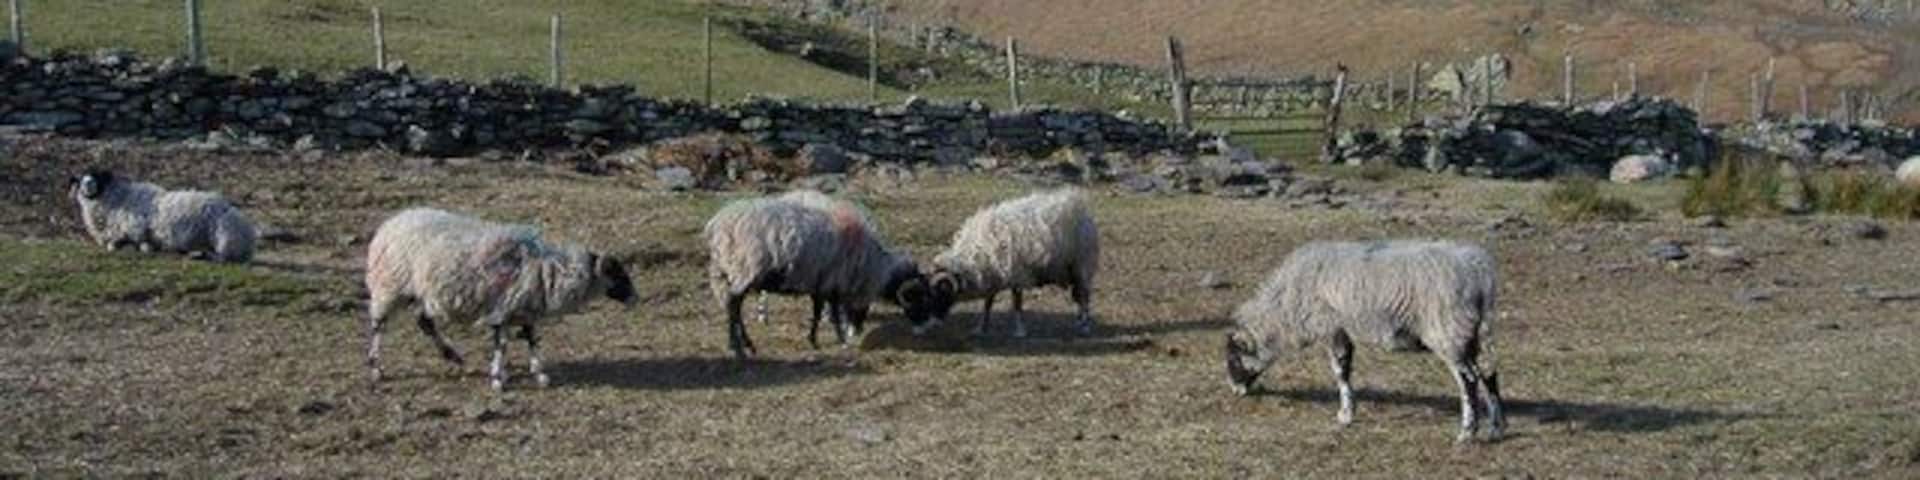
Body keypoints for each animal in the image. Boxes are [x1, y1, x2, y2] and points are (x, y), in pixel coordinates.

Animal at [67, 169, 256, 263]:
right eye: (80, 178)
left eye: (97, 176)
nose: (88, 184)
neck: (119, 199)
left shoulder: (135, 229)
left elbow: (121, 244)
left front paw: (143, 248)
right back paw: (195, 254)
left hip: (223, 236)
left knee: (223, 258)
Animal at [363, 208, 636, 391]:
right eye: (618, 274)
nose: (636, 298)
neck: (548, 271)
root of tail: (390, 223)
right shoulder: (501, 309)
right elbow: (502, 344)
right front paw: (497, 378)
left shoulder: (525, 311)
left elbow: (532, 340)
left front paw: (539, 374)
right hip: (389, 286)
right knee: (378, 326)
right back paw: (376, 367)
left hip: (422, 293)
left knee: (424, 322)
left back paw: (452, 355)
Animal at [704, 194, 932, 358]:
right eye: (917, 297)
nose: (925, 326)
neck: (869, 266)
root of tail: (718, 224)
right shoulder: (833, 281)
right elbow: (831, 312)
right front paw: (840, 339)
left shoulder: (820, 282)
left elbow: (817, 310)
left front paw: (814, 340)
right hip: (746, 268)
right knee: (733, 304)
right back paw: (738, 347)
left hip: (734, 271)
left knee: (734, 307)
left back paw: (745, 345)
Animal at [919, 188, 1099, 338]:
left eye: (937, 294)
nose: (931, 325)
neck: (976, 256)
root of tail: (1082, 209)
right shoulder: (993, 275)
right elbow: (988, 303)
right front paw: (981, 328)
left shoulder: (1017, 276)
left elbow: (1016, 304)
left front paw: (1019, 331)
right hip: (1072, 270)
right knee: (1079, 296)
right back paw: (1078, 321)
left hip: (1082, 265)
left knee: (1085, 297)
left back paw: (1085, 327)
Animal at [1224, 240, 1503, 443]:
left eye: (1234, 358)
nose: (1236, 392)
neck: (1285, 309)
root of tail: (1479, 271)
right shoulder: (1343, 330)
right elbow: (1346, 368)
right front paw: (1349, 411)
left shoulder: (1332, 328)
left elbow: (1340, 371)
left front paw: (1345, 415)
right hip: (1473, 333)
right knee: (1489, 374)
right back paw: (1496, 428)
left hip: (1449, 331)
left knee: (1469, 380)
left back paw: (1467, 433)